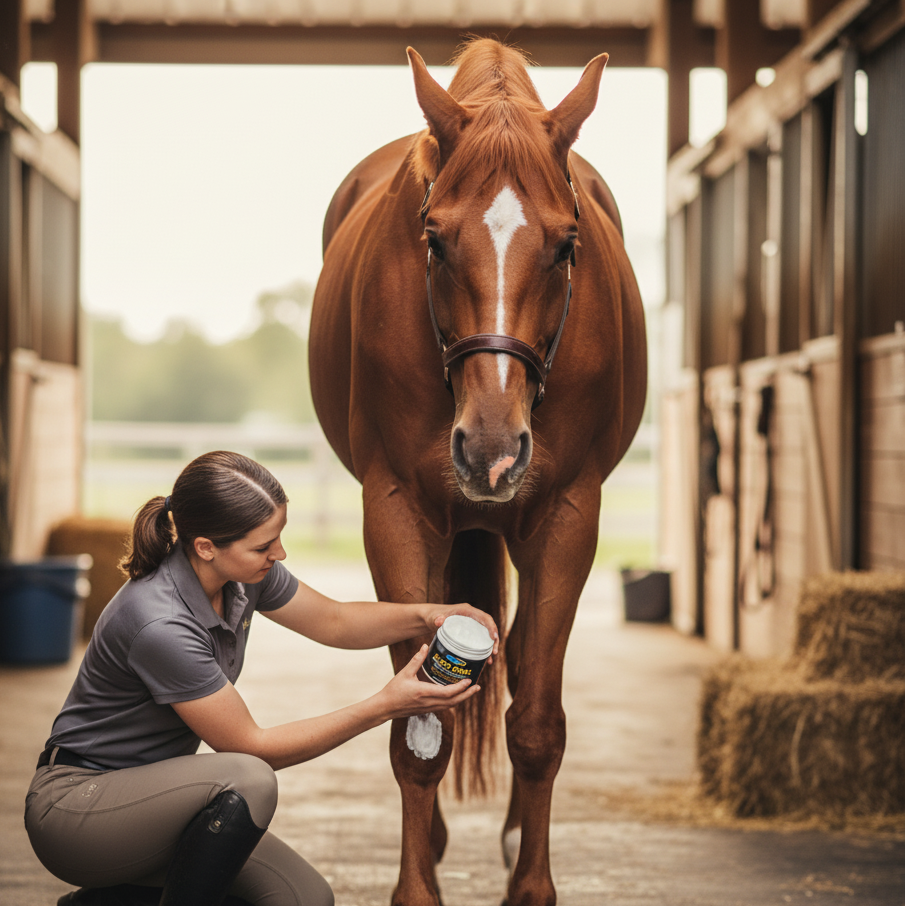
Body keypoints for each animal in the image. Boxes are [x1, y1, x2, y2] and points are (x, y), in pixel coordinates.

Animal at [309, 38, 647, 906]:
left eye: (565, 245)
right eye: (433, 239)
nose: (490, 449)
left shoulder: (568, 517)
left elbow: (535, 725)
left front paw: (531, 886)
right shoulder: (395, 512)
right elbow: (414, 730)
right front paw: (416, 887)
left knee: (524, 672)